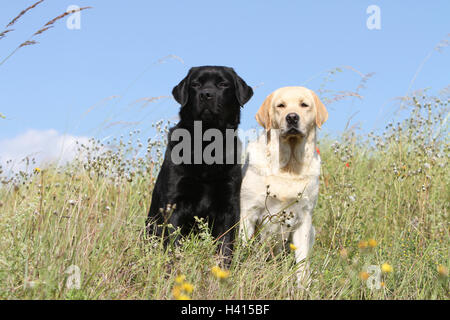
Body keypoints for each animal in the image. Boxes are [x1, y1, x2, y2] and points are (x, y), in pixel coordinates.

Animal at [148, 65, 253, 264]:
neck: (207, 144)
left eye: (223, 84)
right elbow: (174, 243)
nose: (206, 94)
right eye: (195, 84)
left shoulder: (229, 205)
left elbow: (225, 246)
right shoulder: (174, 202)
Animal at [239, 86, 326, 284]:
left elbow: (302, 263)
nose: (292, 117)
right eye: (281, 105)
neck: (289, 166)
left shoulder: (304, 218)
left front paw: (303, 287)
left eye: (304, 104)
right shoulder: (249, 212)